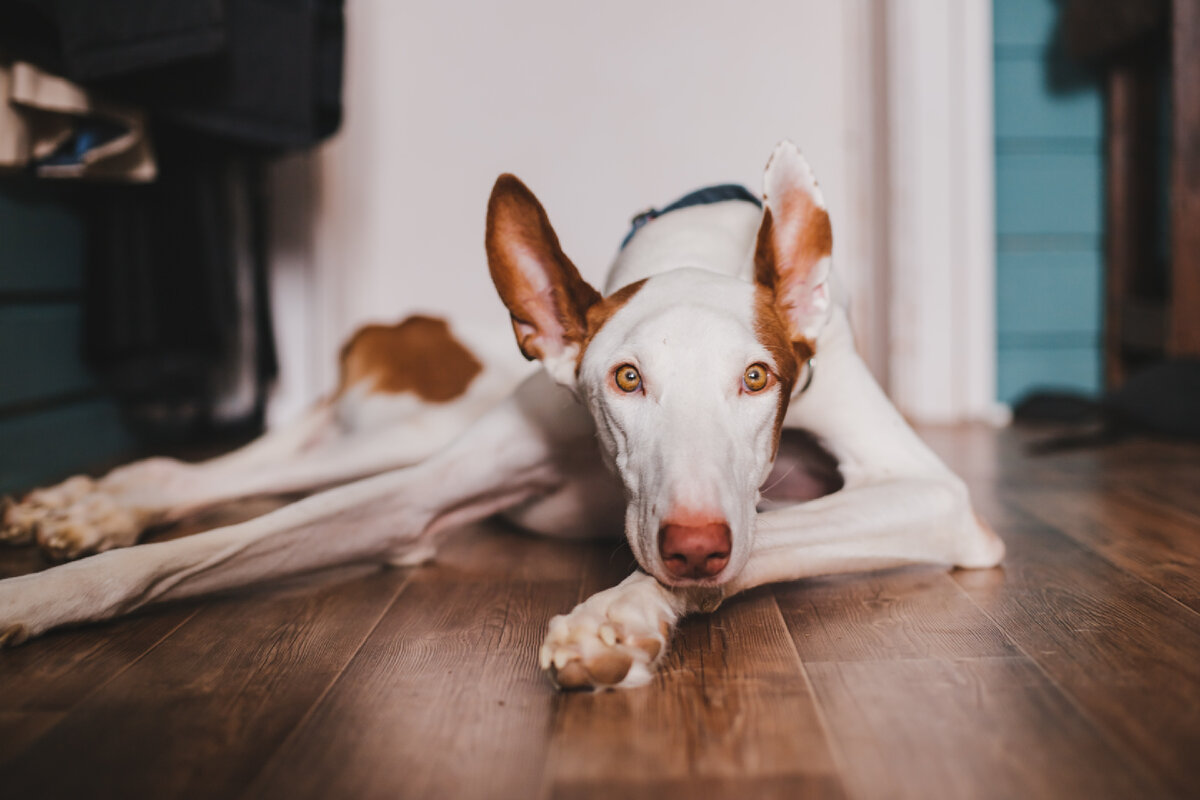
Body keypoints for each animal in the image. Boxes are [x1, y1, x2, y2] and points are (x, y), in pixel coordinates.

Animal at [0, 142, 1003, 690]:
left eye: (758, 377)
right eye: (625, 380)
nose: (694, 547)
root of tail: (398, 327)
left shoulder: (931, 496)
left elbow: (764, 538)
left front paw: (618, 616)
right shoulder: (420, 495)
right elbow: (195, 554)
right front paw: (41, 597)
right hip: (419, 431)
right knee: (218, 471)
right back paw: (93, 506)